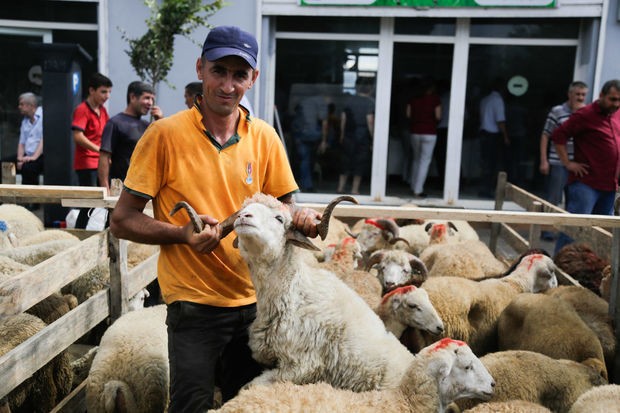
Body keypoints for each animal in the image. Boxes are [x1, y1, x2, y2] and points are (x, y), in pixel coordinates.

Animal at [230, 193, 414, 390]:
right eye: (243, 209)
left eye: (279, 218)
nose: (243, 216)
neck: (296, 295)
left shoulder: (302, 365)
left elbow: (252, 385)